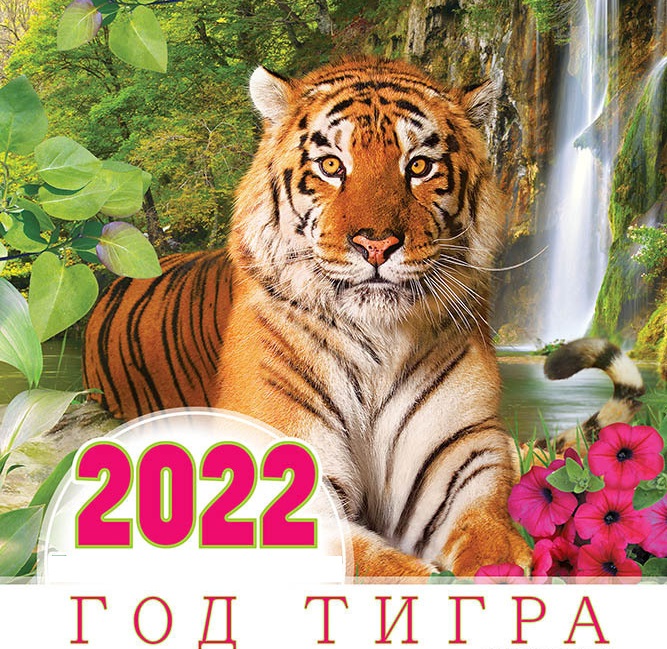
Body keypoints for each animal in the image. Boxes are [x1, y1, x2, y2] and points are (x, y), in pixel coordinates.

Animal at [83, 58, 644, 577]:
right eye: (332, 166)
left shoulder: (461, 454)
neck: (379, 345)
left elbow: (491, 538)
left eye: (418, 167)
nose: (376, 245)